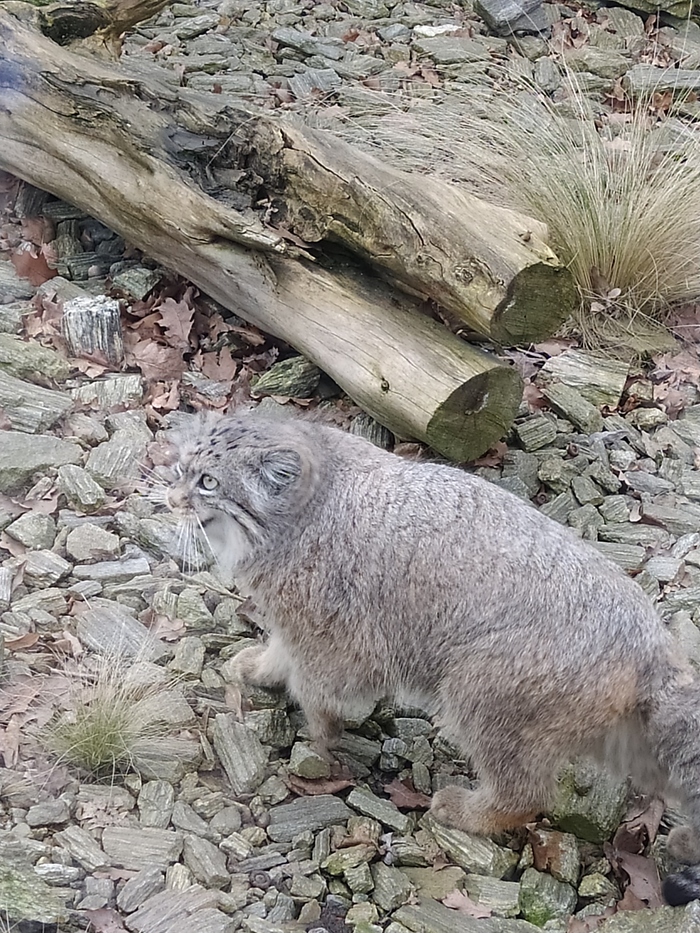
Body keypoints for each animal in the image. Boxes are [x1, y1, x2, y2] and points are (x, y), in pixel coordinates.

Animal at [164, 407, 700, 906]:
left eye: (208, 483)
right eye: (181, 469)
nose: (169, 499)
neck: (311, 507)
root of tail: (651, 644)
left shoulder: (338, 640)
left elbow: (315, 689)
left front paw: (319, 737)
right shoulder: (296, 623)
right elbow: (282, 652)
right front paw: (261, 671)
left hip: (478, 691)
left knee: (525, 794)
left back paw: (470, 812)